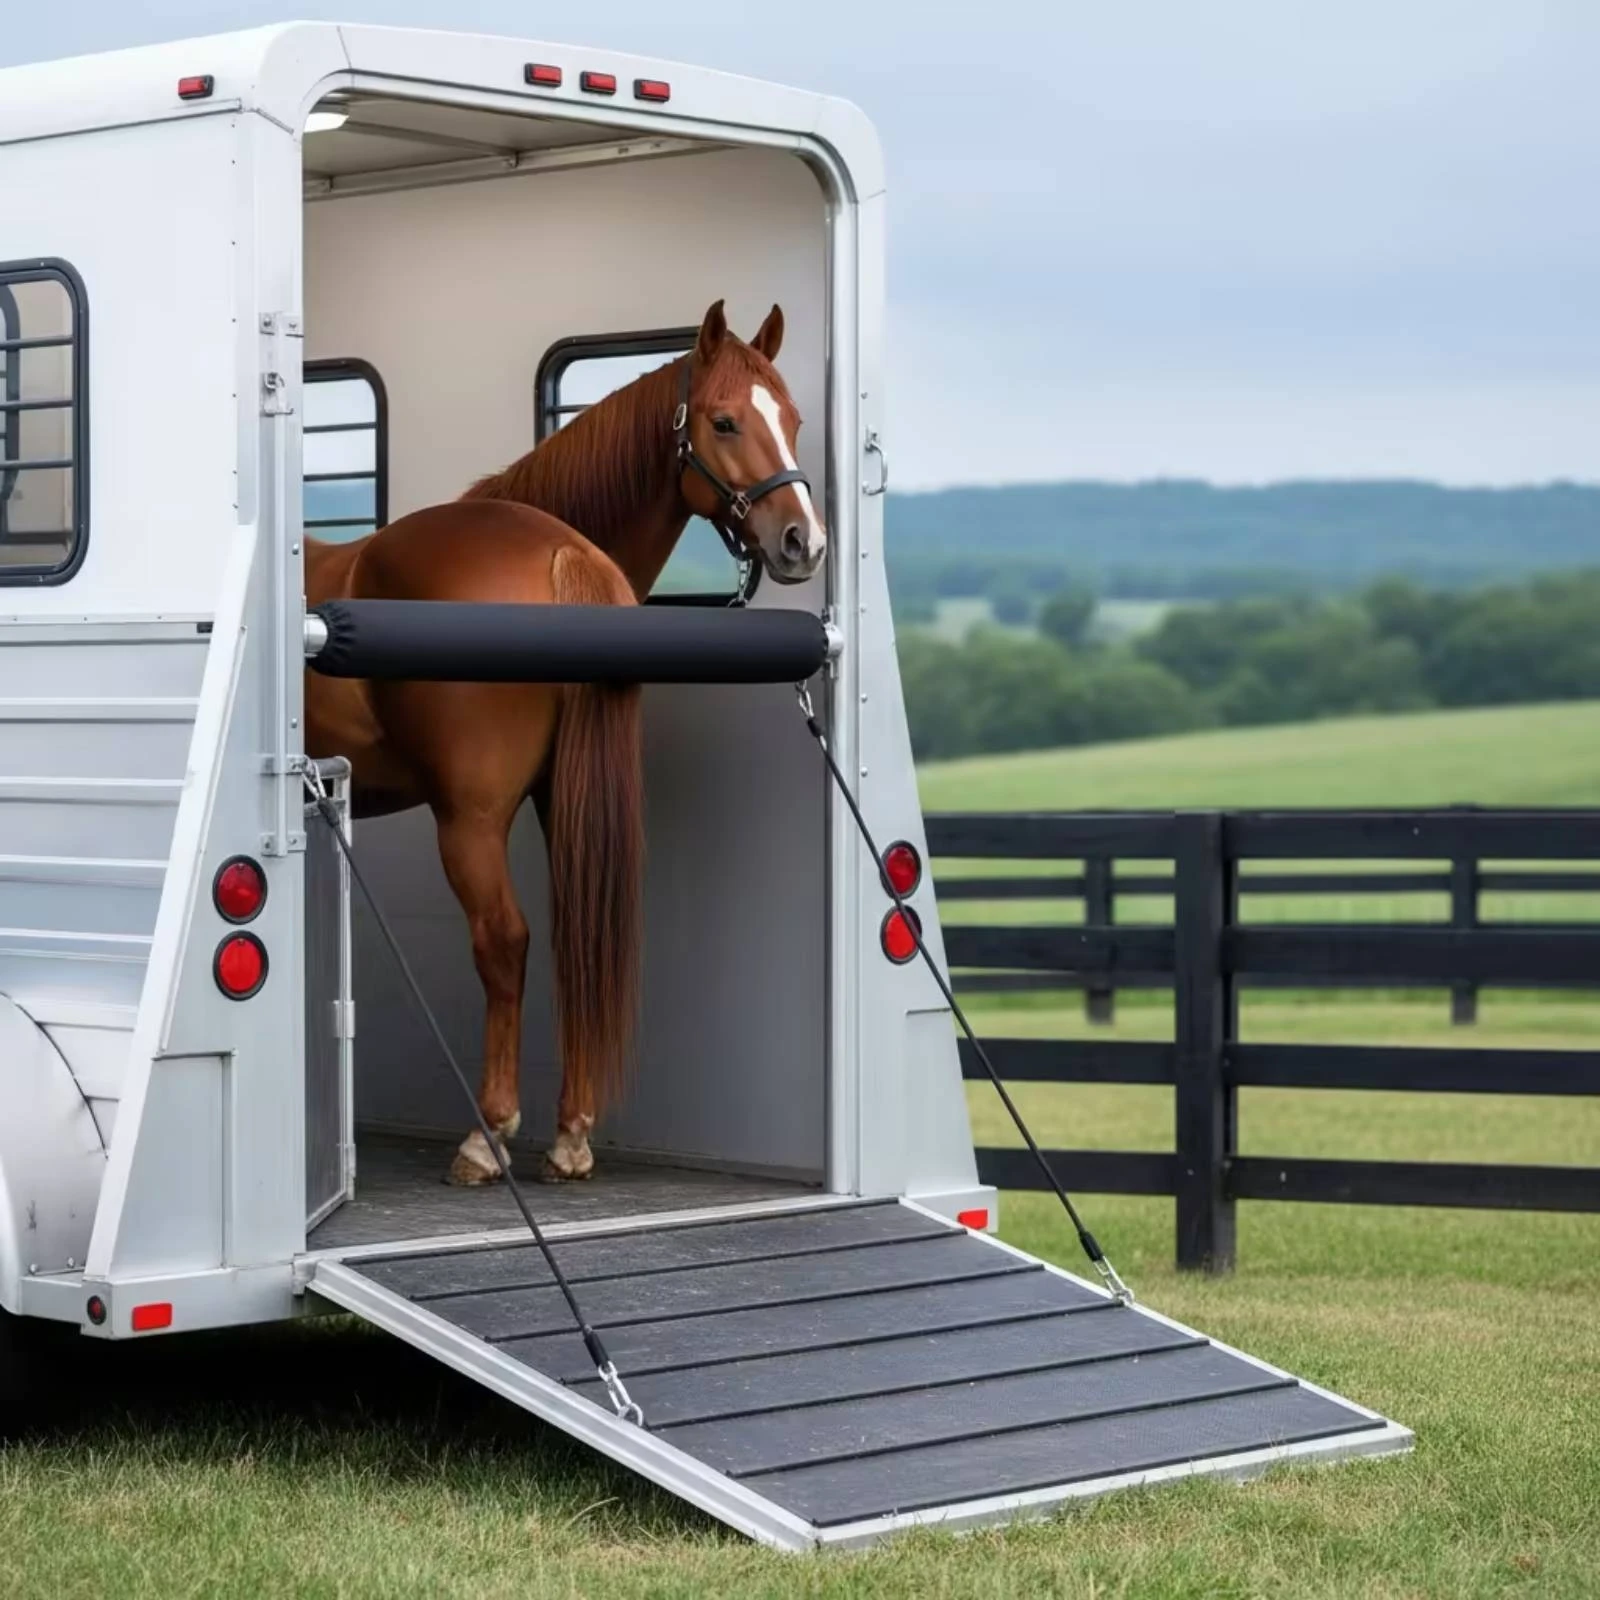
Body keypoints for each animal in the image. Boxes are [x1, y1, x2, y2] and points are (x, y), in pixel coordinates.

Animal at [303, 300, 826, 1186]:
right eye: (725, 420)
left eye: (789, 420)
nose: (803, 540)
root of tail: (556, 553)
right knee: (552, 936)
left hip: (472, 820)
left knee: (509, 941)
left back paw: (493, 1135)